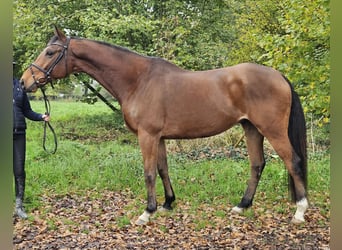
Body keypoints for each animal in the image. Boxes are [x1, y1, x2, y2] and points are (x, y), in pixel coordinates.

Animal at [20, 26, 308, 226]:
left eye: (50, 52)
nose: (24, 82)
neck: (138, 80)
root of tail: (279, 75)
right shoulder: (159, 137)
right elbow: (162, 169)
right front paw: (168, 203)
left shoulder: (147, 136)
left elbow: (148, 172)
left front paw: (147, 212)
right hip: (251, 128)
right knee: (257, 164)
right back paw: (242, 205)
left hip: (272, 130)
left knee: (292, 161)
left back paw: (300, 211)